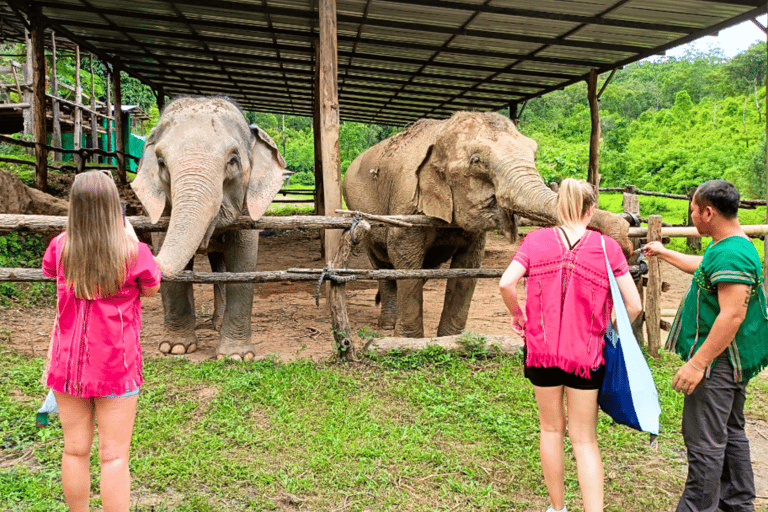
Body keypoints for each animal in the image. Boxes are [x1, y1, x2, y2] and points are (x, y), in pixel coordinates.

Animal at [131, 96, 286, 359]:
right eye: (161, 163)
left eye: (233, 161)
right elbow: (163, 245)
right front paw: (175, 347)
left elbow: (243, 259)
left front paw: (236, 356)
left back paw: (218, 325)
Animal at [342, 111, 631, 338]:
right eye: (477, 161)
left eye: (535, 153)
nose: (625, 235)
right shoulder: (406, 206)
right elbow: (405, 258)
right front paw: (410, 340)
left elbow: (468, 266)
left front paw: (451, 338)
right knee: (382, 265)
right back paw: (387, 326)